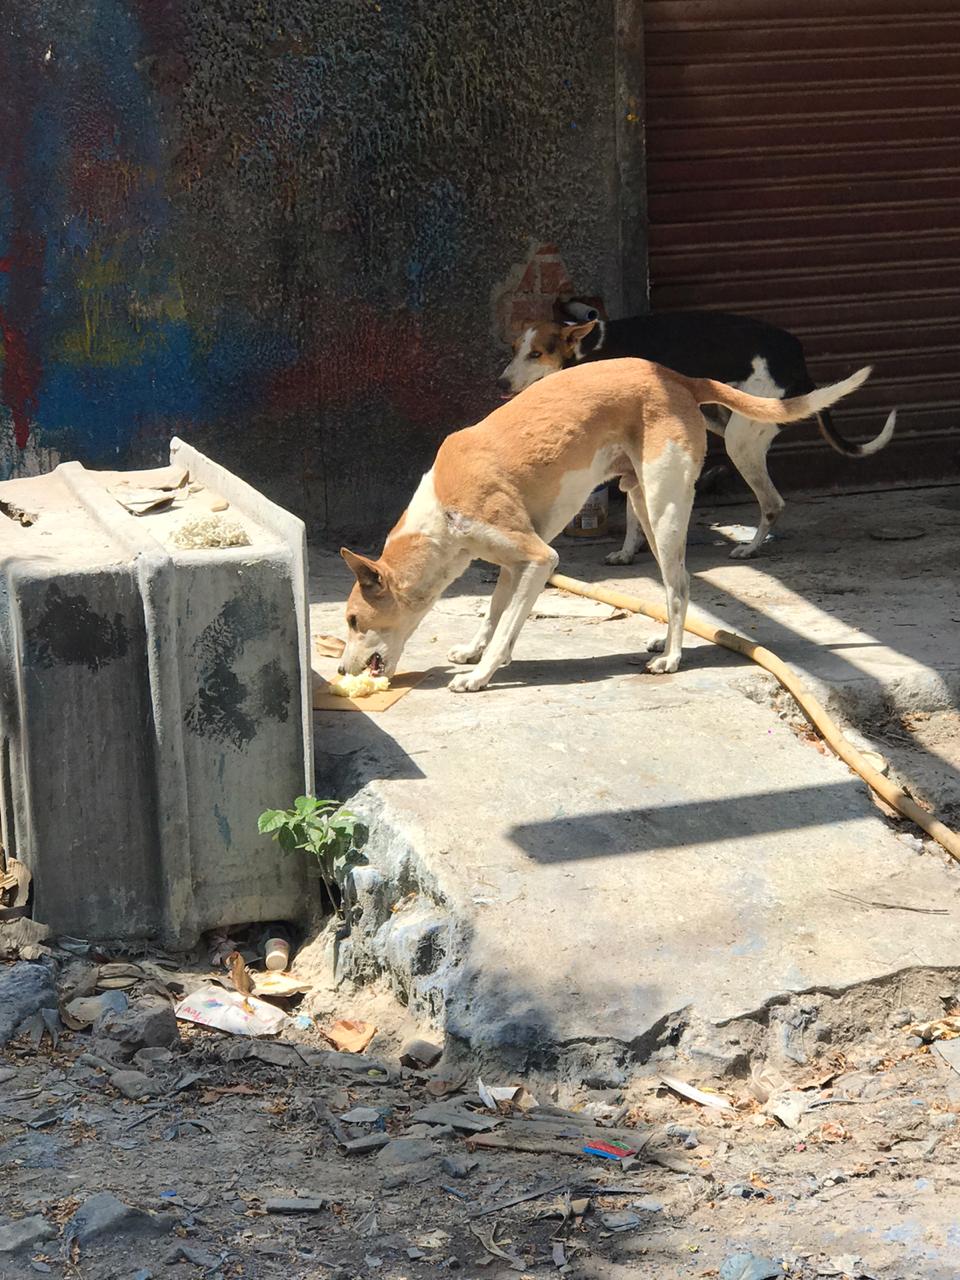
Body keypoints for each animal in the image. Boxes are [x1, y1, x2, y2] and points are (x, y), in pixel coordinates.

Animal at [339, 357, 871, 693]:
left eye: (352, 621)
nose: (342, 671)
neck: (439, 516)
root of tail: (679, 378)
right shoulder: (511, 566)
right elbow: (494, 614)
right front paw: (475, 652)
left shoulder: (539, 558)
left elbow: (508, 623)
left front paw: (481, 675)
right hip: (646, 510)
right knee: (673, 587)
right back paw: (664, 641)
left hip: (665, 509)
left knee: (679, 587)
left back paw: (671, 658)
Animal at [498, 311, 896, 561]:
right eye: (514, 349)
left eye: (536, 354)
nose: (500, 383)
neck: (587, 349)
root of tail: (798, 358)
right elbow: (634, 512)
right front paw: (629, 551)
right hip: (715, 418)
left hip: (739, 439)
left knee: (773, 502)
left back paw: (751, 549)